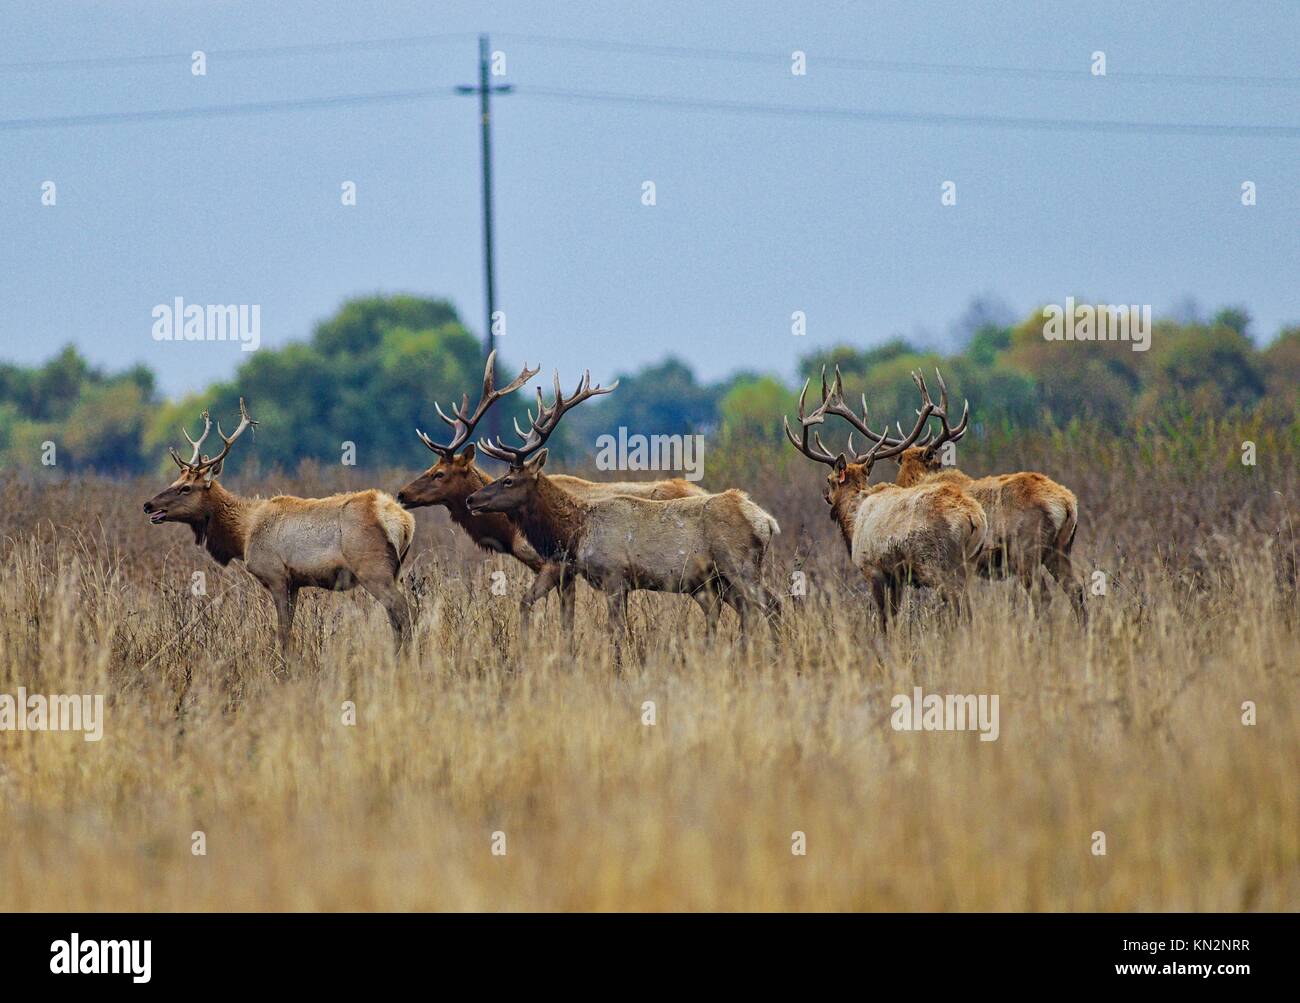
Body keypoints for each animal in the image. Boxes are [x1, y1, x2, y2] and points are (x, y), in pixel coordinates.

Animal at [144, 394, 413, 654]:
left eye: (186, 488)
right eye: (175, 480)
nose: (148, 505)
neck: (243, 534)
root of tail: (404, 521)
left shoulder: (275, 575)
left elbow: (283, 633)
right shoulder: (294, 582)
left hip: (373, 568)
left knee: (403, 611)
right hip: (395, 570)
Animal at [392, 353, 707, 634]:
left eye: (440, 474)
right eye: (431, 467)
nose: (402, 494)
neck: (510, 533)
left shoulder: (555, 565)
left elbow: (544, 609)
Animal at [462, 371, 774, 654]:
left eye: (508, 480)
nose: (471, 499)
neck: (577, 533)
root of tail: (767, 522)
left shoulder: (614, 576)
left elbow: (616, 633)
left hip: (740, 565)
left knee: (771, 604)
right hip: (719, 580)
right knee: (749, 610)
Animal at [780, 371, 982, 631]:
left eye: (829, 479)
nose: (824, 494)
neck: (853, 520)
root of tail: (974, 518)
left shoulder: (873, 569)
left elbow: (885, 619)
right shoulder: (896, 577)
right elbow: (895, 618)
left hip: (940, 565)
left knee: (960, 608)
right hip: (971, 563)